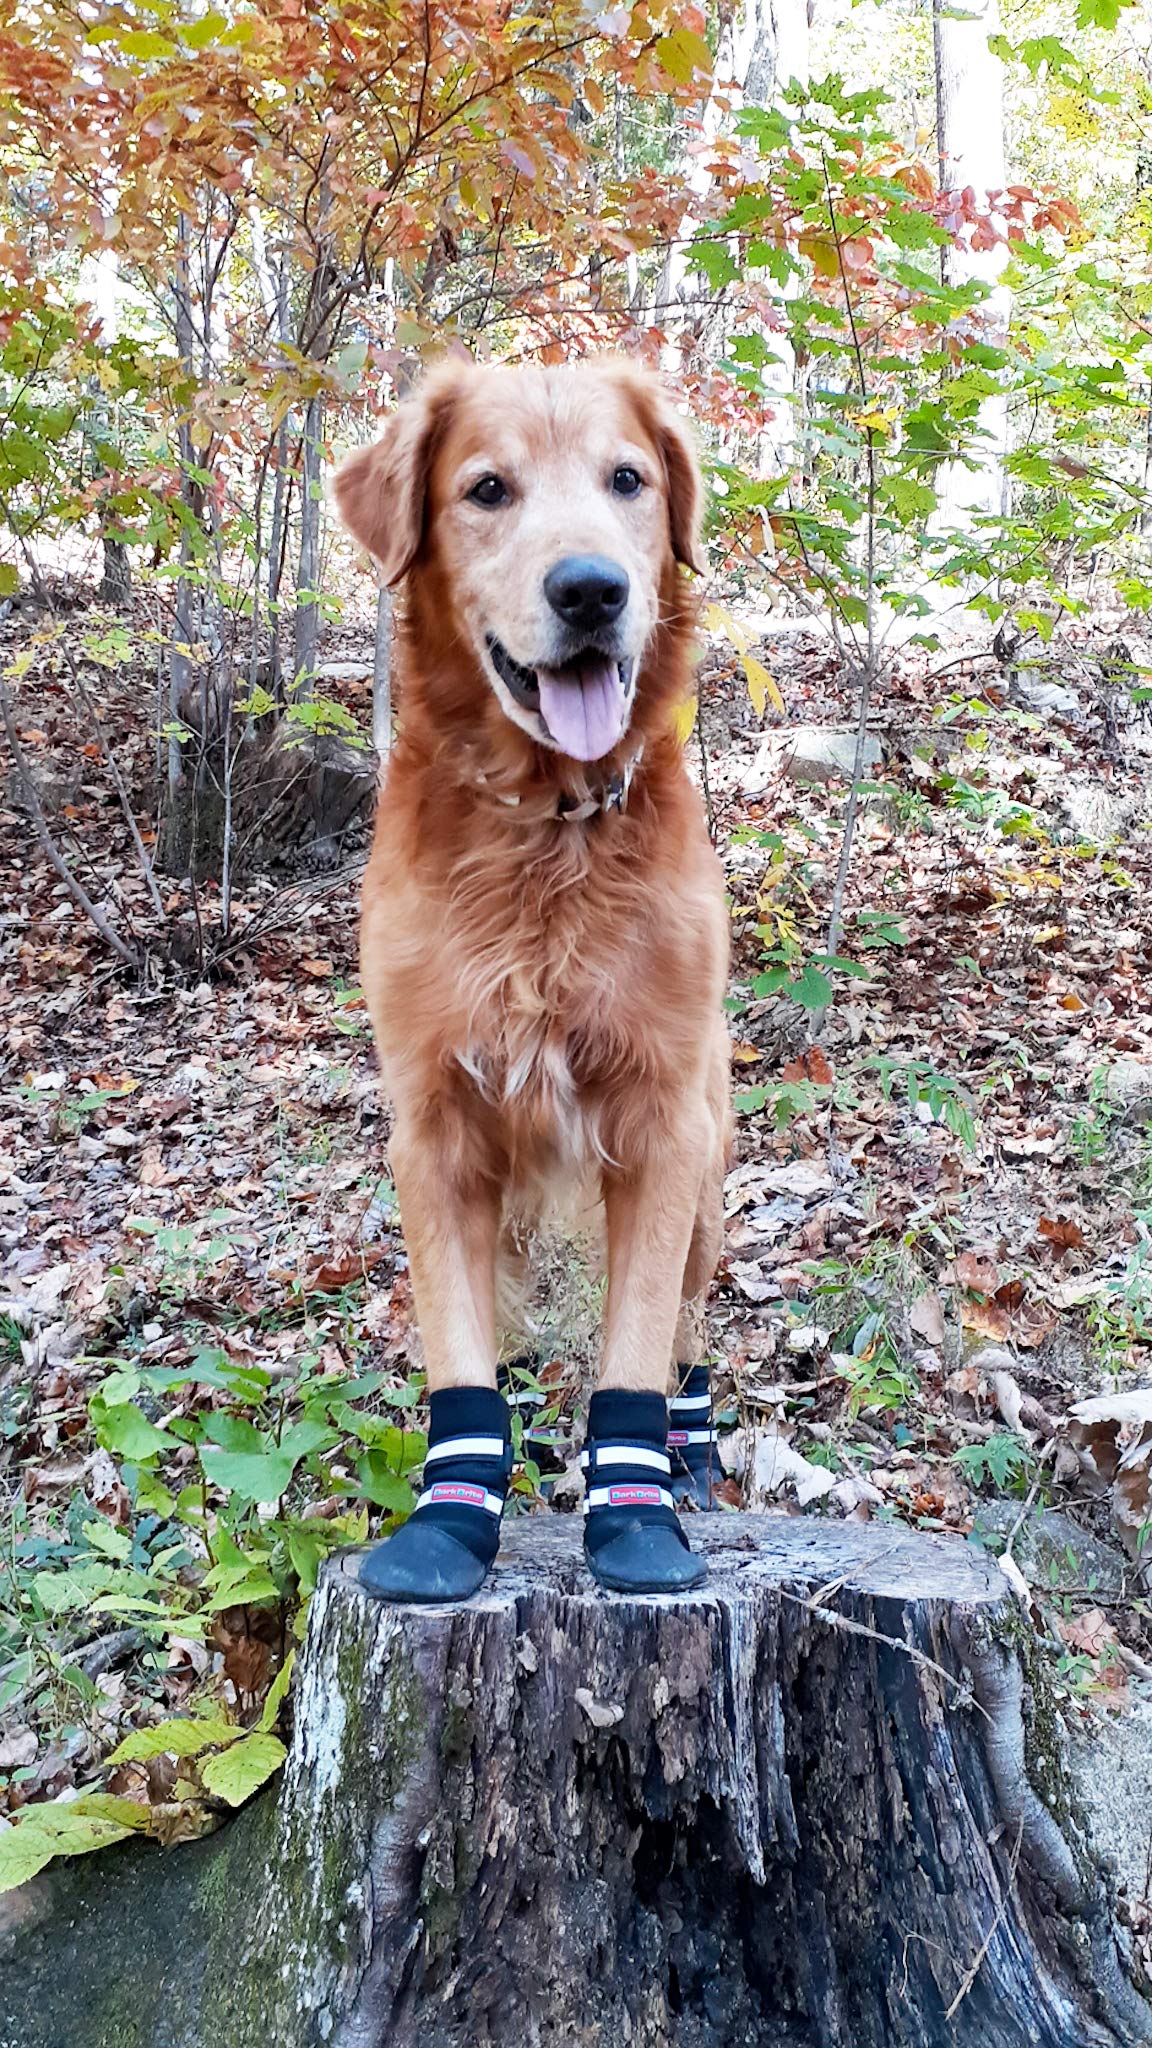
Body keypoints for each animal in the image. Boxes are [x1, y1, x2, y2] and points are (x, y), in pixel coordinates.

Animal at [332, 360, 725, 1597]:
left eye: (628, 480)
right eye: (487, 488)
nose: (592, 589)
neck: (547, 828)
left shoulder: (662, 1122)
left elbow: (635, 1347)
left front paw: (637, 1516)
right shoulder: (436, 1126)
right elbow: (462, 1346)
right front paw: (451, 1520)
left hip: (714, 1171)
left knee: (689, 1331)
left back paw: (693, 1461)